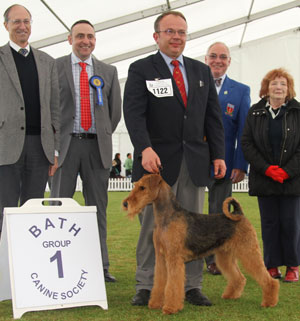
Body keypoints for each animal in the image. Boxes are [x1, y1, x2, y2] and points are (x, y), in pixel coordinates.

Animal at [122, 174, 278, 314]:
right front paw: (155, 303)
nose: (125, 204)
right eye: (136, 185)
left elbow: (173, 285)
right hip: (225, 256)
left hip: (249, 251)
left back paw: (269, 302)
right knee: (239, 277)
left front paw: (170, 308)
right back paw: (230, 295)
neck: (167, 217)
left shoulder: (174, 259)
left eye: (142, 187)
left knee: (267, 279)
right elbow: (160, 282)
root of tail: (239, 214)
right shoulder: (161, 258)